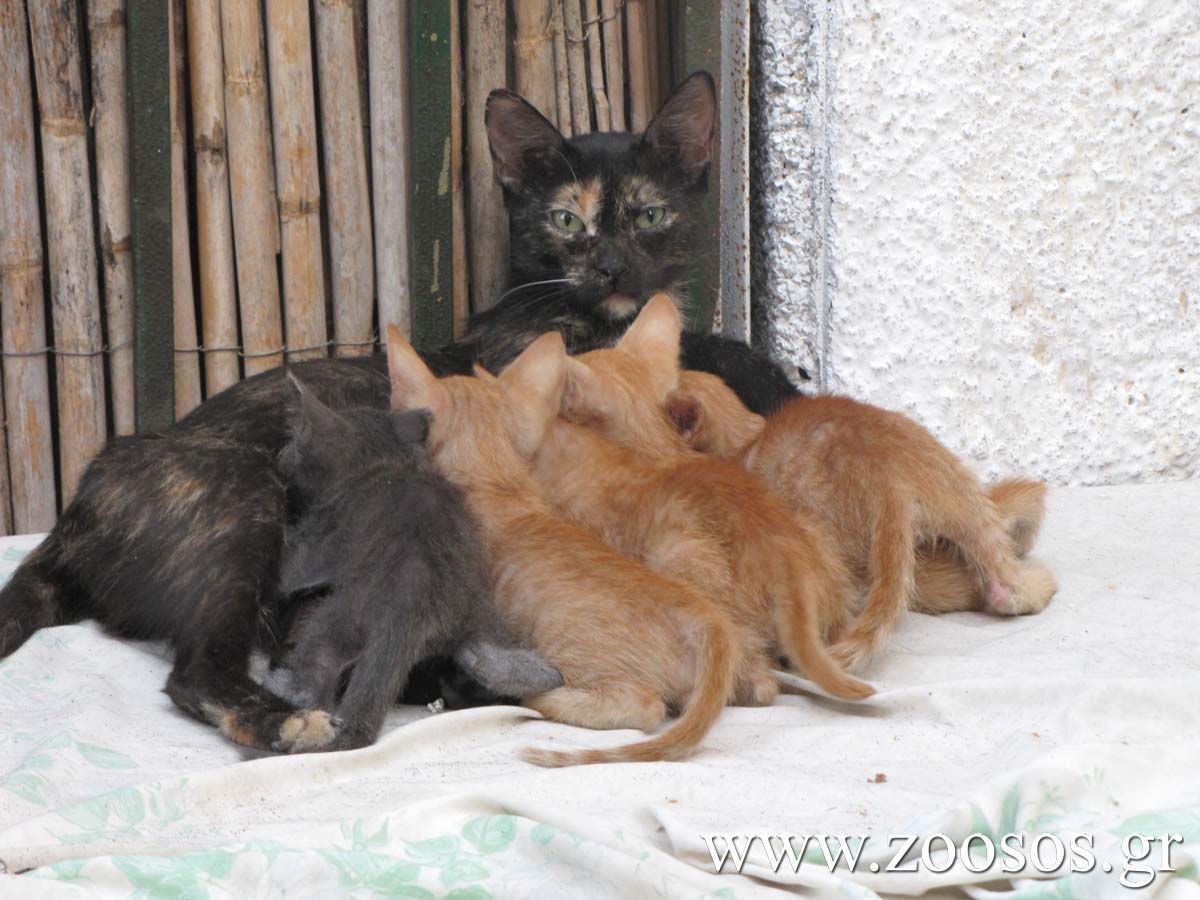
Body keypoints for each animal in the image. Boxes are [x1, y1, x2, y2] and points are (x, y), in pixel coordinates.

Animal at [259, 375, 563, 752]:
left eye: (294, 443)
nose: (280, 455)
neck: (381, 465)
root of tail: (415, 607)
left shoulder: (324, 535)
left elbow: (290, 572)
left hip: (337, 618)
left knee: (316, 666)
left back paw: (283, 689)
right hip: (480, 612)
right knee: (483, 655)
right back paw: (541, 675)